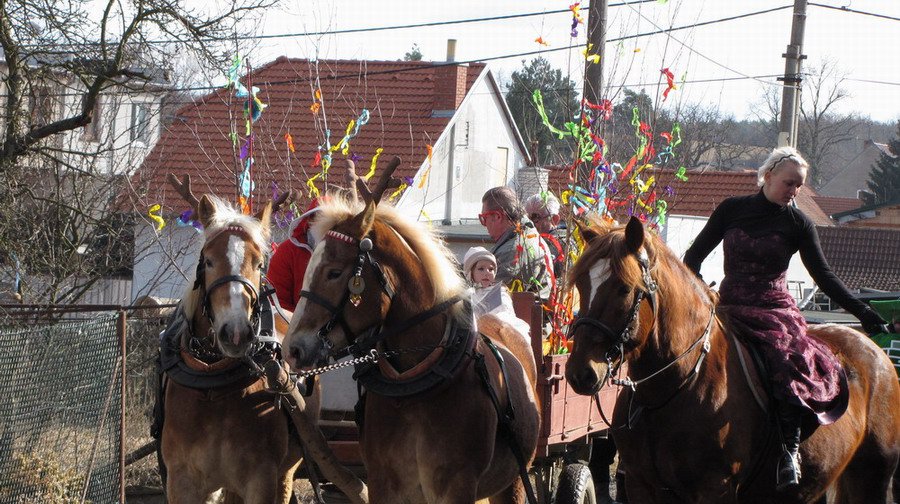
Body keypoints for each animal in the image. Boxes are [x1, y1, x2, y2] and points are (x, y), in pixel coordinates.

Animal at [160, 196, 322, 504]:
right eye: (208, 261)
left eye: (259, 264)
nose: (235, 332)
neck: (213, 384)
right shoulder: (182, 479)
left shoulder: (260, 478)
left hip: (287, 469)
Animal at [282, 182, 536, 504]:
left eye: (334, 272)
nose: (292, 348)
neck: (415, 389)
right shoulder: (383, 483)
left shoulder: (458, 487)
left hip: (512, 481)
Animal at [568, 215, 896, 502]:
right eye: (582, 284)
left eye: (624, 288)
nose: (580, 373)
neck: (668, 391)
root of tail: (875, 352)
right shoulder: (641, 486)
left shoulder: (716, 488)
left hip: (872, 477)